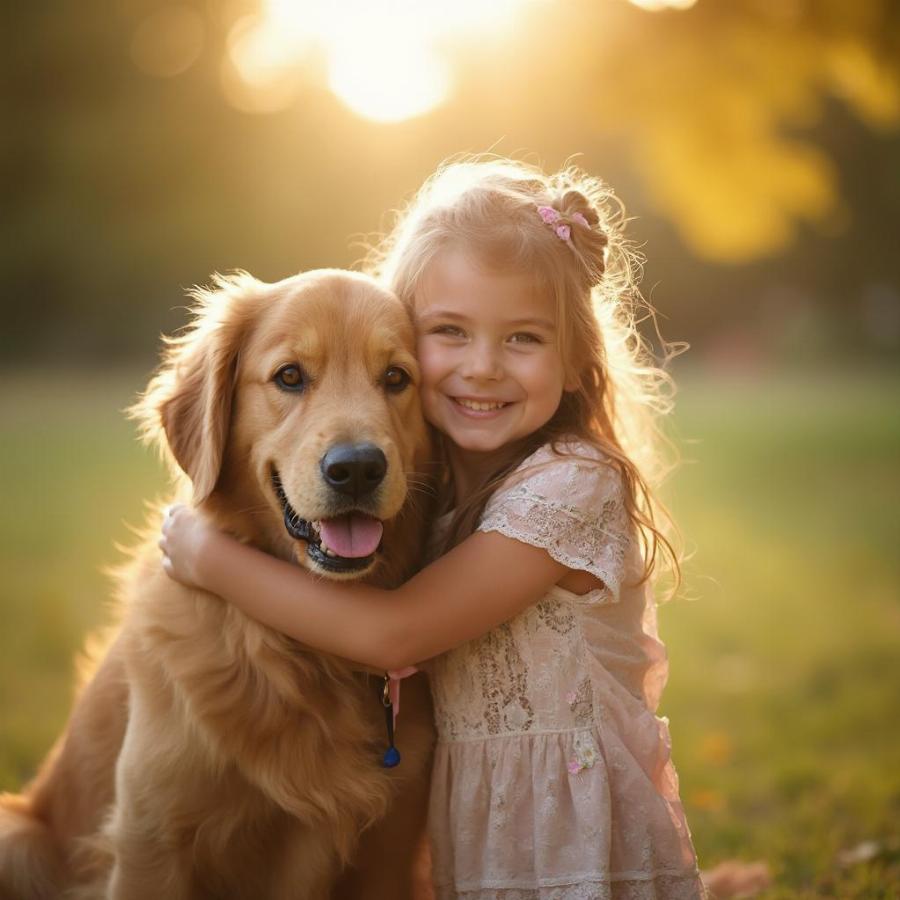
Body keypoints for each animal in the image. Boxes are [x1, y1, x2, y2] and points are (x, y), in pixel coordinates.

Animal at [0, 268, 436, 900]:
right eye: (289, 376)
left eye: (397, 378)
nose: (356, 468)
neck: (299, 650)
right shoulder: (151, 839)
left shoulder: (390, 853)